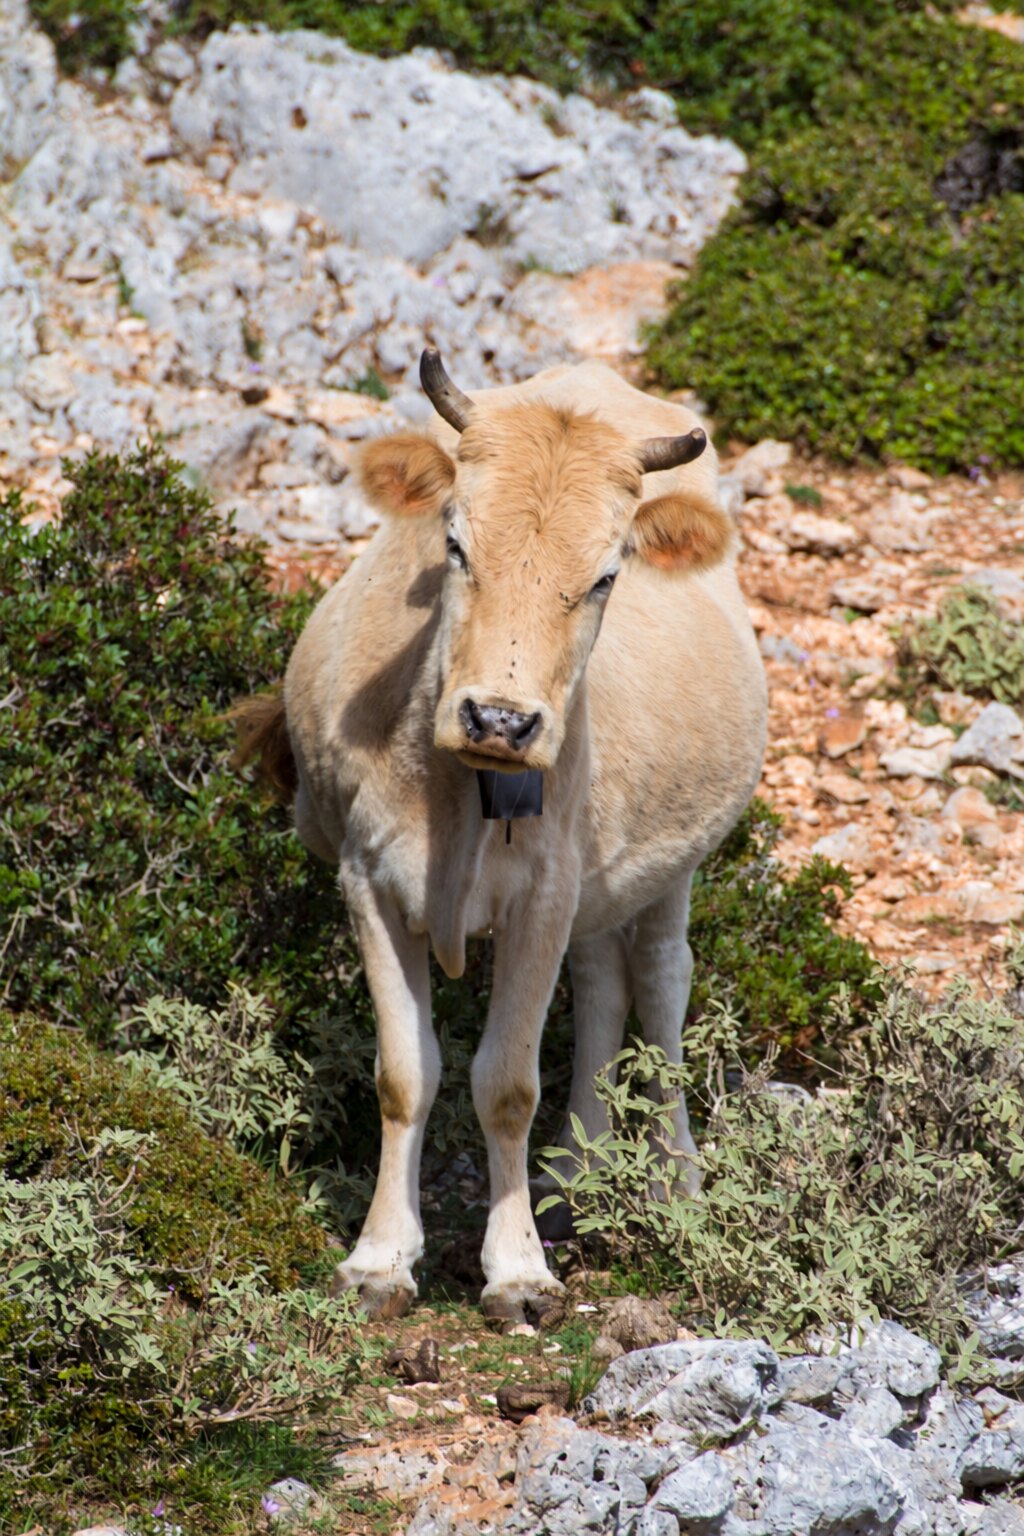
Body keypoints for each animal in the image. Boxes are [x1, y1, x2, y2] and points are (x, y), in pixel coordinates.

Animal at [237, 351, 767, 1326]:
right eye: (454, 543)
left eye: (605, 576)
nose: (501, 719)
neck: (456, 789)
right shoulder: (370, 883)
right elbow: (406, 1073)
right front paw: (380, 1257)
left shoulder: (542, 897)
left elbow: (508, 1084)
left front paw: (517, 1271)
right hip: (600, 880)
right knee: (600, 981)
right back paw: (573, 1180)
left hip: (675, 863)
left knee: (660, 982)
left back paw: (672, 1186)